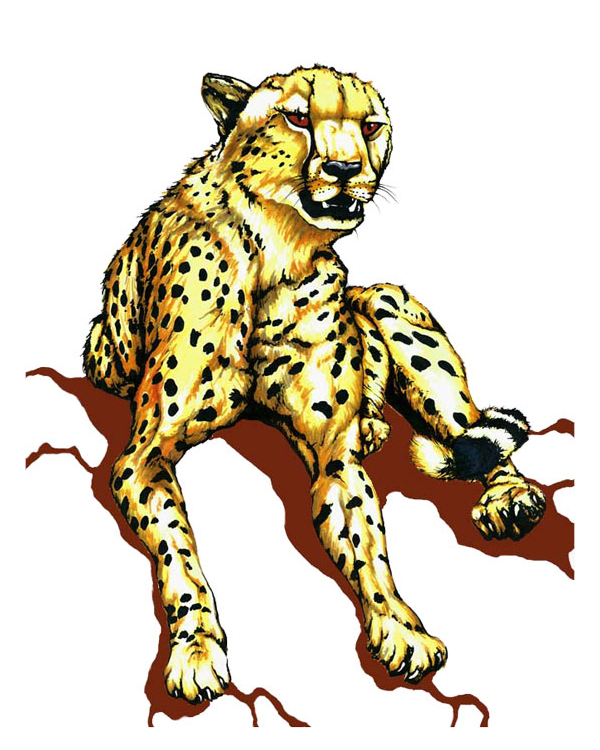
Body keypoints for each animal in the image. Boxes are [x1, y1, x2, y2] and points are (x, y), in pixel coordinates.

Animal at [83, 65, 546, 704]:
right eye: (297, 116)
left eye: (370, 126)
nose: (346, 169)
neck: (279, 251)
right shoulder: (143, 455)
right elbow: (179, 551)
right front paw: (196, 649)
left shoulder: (333, 455)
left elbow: (369, 547)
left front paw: (400, 626)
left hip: (387, 301)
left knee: (470, 428)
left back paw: (507, 495)